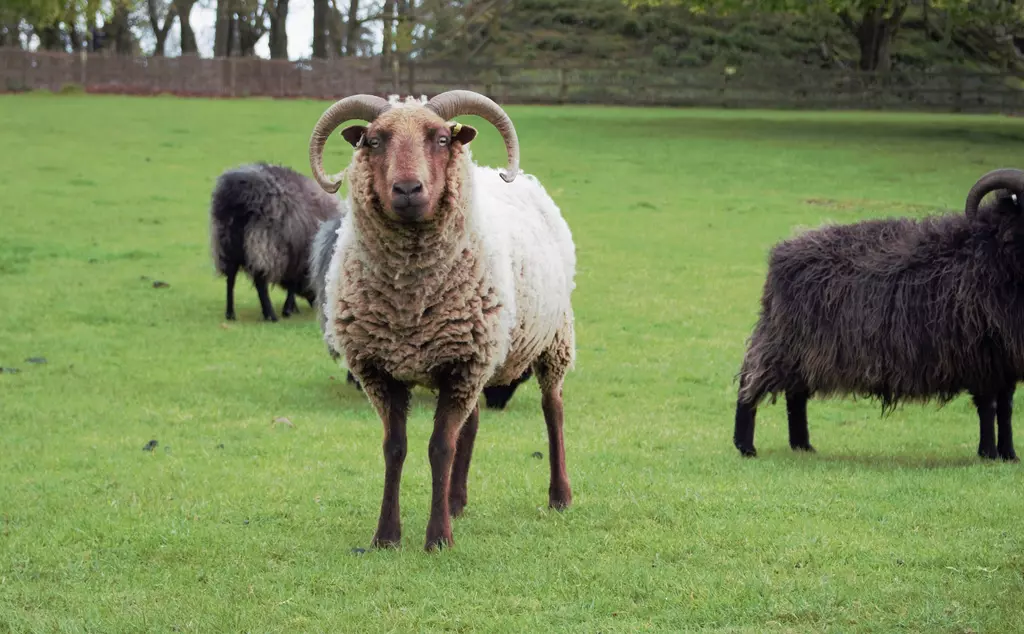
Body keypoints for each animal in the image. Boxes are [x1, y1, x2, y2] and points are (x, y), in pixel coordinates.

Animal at [209, 162, 342, 321]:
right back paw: (270, 315)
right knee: (260, 281)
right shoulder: (296, 255)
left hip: (226, 245)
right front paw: (288, 309)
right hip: (262, 242)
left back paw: (230, 313)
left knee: (230, 278)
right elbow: (292, 284)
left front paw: (292, 308)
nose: (317, 304)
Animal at [303, 89, 577, 548]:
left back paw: (560, 495)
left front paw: (438, 539)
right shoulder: (382, 371)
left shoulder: (462, 364)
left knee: (551, 408)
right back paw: (456, 500)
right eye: (373, 141)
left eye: (442, 140)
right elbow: (395, 448)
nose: (407, 189)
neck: (410, 304)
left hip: (553, 339)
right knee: (473, 422)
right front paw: (386, 536)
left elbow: (439, 449)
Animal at [733, 168, 1024, 462]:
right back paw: (746, 446)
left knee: (796, 393)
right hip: (784, 341)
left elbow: (1006, 409)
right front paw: (988, 453)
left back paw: (802, 445)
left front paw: (1009, 454)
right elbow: (988, 408)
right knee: (750, 379)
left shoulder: (1005, 360)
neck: (993, 251)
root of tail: (781, 253)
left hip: (805, 351)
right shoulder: (982, 356)